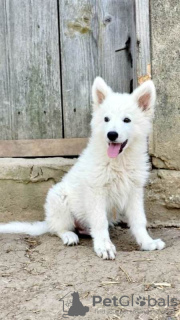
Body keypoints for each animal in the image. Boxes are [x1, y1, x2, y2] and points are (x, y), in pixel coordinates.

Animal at [0, 78, 166, 260]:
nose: (111, 134)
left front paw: (147, 242)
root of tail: (48, 220)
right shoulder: (96, 191)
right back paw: (69, 235)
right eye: (106, 119)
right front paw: (104, 246)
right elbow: (99, 221)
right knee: (58, 228)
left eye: (127, 120)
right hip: (59, 199)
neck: (119, 161)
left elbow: (139, 220)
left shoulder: (134, 191)